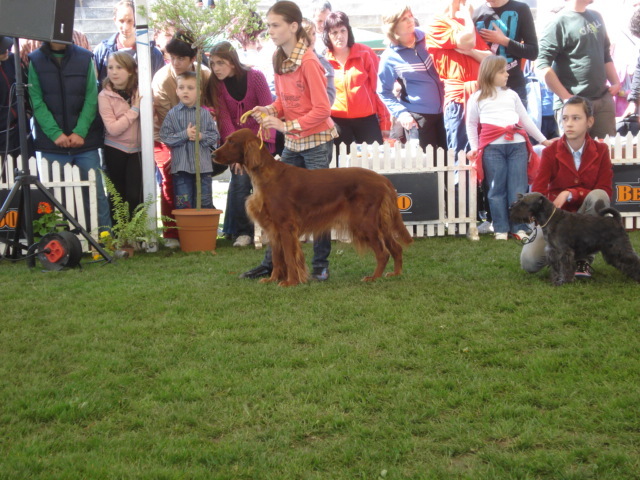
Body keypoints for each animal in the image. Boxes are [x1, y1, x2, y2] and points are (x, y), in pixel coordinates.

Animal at [213, 129, 413, 286]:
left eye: (231, 141)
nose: (213, 155)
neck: (266, 176)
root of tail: (382, 179)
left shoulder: (286, 226)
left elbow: (289, 257)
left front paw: (290, 282)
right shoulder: (273, 229)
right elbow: (277, 258)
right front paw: (272, 279)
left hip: (364, 223)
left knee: (383, 252)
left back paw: (373, 277)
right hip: (381, 223)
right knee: (396, 248)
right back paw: (395, 273)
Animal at [510, 192, 640, 285]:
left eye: (523, 203)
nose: (510, 208)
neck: (551, 218)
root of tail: (617, 220)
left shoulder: (563, 251)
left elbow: (565, 267)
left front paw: (564, 281)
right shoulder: (553, 251)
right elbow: (556, 267)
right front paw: (555, 280)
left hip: (619, 247)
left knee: (633, 260)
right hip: (611, 252)